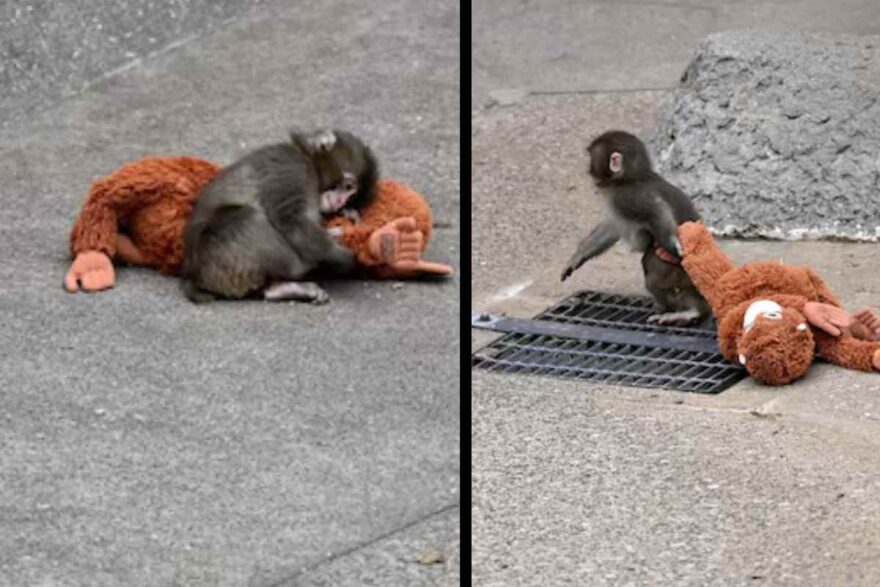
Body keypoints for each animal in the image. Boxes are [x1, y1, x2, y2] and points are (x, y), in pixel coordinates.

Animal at [181, 128, 379, 304]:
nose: (340, 202)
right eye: (348, 186)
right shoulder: (292, 170)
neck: (307, 160)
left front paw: (347, 214)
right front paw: (343, 256)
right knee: (246, 218)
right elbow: (290, 220)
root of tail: (192, 274)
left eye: (350, 197)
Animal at [560, 130, 710, 326]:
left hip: (676, 272)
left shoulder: (626, 196)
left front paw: (675, 246)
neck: (631, 177)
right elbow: (612, 227)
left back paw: (690, 311)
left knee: (651, 270)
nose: (588, 170)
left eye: (592, 158)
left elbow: (656, 211)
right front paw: (578, 256)